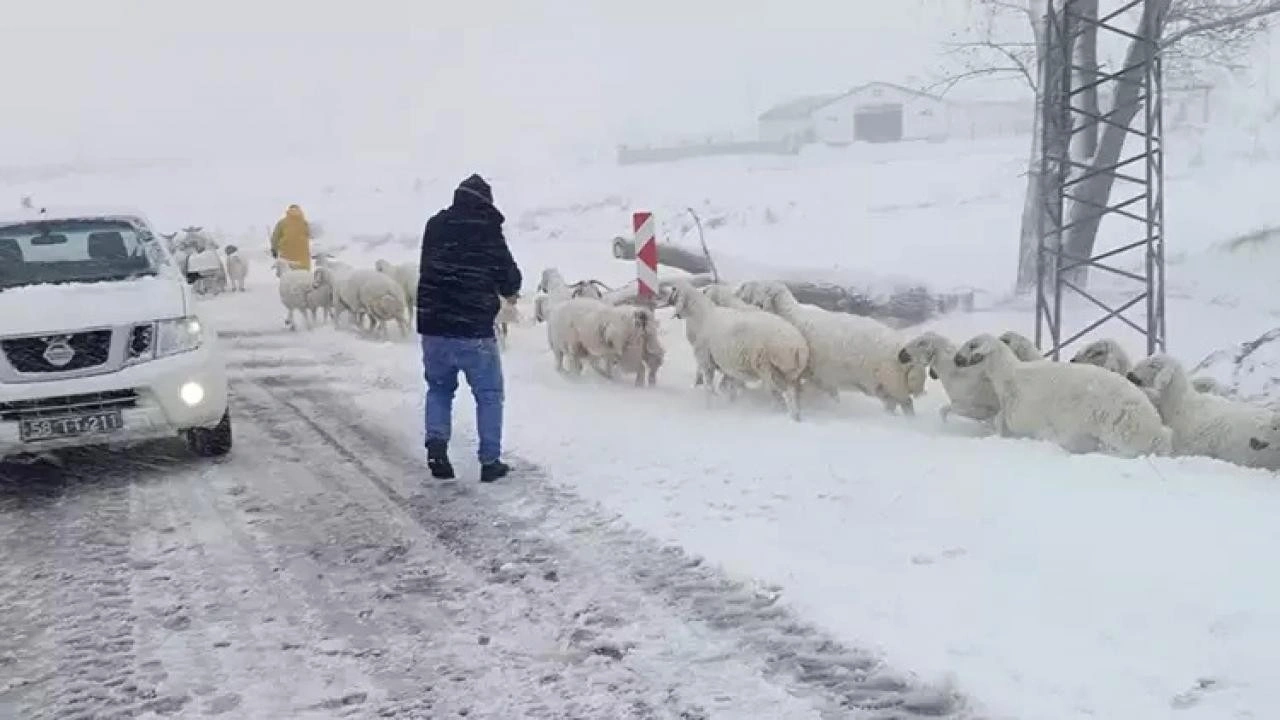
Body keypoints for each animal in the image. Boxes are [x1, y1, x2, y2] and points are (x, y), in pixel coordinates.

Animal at [665, 275, 803, 420]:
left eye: (674, 289)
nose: (667, 301)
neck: (702, 316)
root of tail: (798, 346)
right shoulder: (729, 365)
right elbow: (731, 387)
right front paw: (731, 402)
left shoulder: (706, 360)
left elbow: (709, 388)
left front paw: (708, 408)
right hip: (787, 373)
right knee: (791, 393)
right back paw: (795, 416)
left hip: (769, 369)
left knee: (784, 395)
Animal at [737, 280, 926, 415]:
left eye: (758, 289)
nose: (740, 289)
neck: (792, 317)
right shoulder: (822, 377)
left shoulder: (818, 375)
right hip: (882, 386)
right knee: (893, 403)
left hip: (893, 382)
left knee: (907, 403)